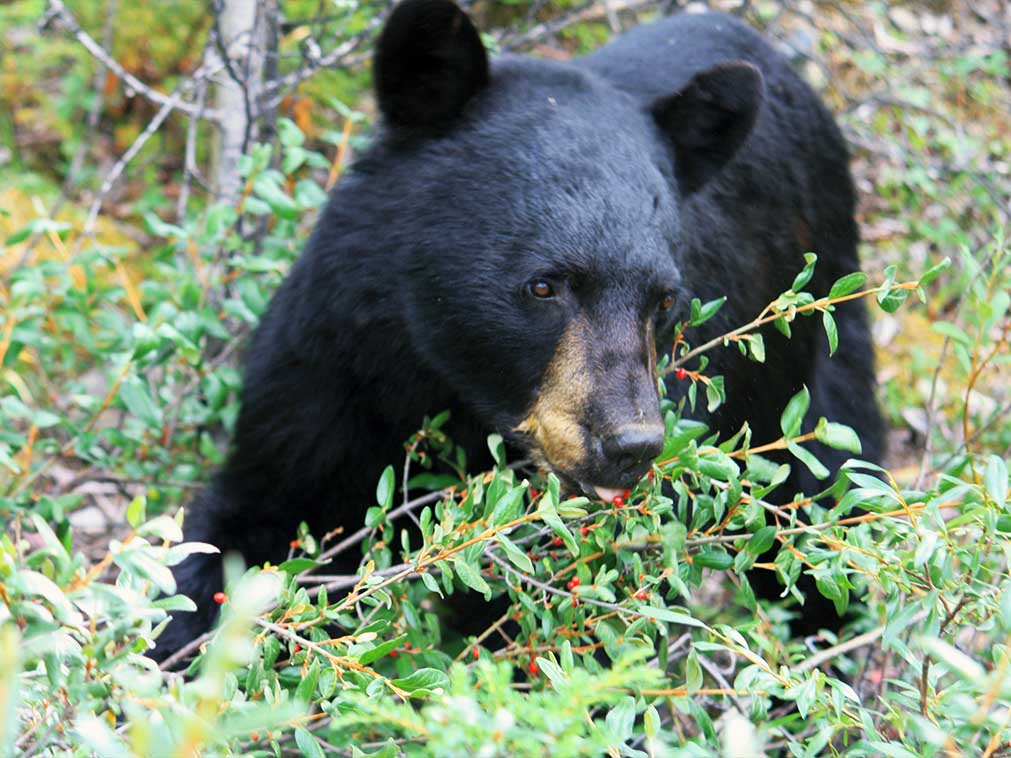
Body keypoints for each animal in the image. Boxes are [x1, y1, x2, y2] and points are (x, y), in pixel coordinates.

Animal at [151, 0, 885, 658]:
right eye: (543, 285)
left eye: (664, 300)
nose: (632, 444)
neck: (443, 385)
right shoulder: (330, 371)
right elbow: (247, 523)